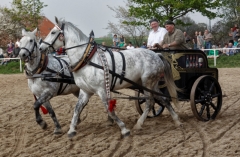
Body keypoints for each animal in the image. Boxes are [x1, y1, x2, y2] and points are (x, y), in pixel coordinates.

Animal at [39, 16, 182, 138]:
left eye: (53, 32)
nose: (40, 47)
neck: (87, 60)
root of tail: (156, 55)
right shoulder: (85, 91)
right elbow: (77, 109)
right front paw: (71, 130)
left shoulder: (102, 90)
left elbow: (110, 110)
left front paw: (124, 129)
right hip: (150, 84)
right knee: (163, 99)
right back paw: (177, 121)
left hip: (148, 82)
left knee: (149, 102)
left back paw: (139, 124)